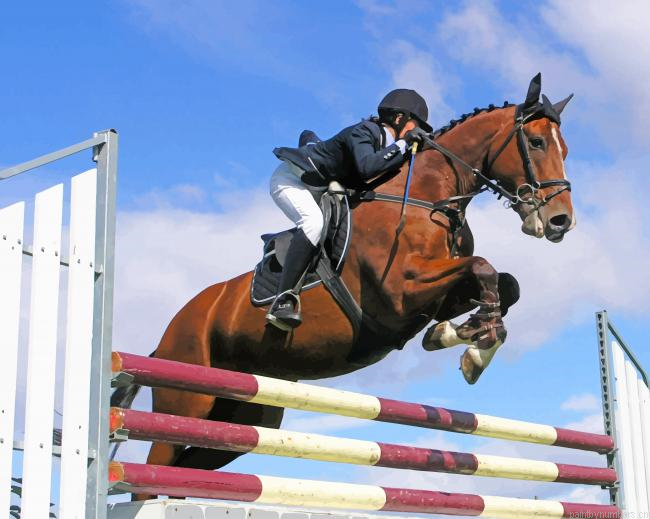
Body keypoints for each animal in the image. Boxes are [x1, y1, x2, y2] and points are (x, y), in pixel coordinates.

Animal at [113, 74, 575, 498]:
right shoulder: (400, 294)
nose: (560, 222)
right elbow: (483, 268)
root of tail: (166, 337)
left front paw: (461, 338)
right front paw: (475, 348)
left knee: (189, 463)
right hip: (187, 396)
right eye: (537, 143)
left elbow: (504, 283)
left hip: (246, 414)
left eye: (565, 149)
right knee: (152, 471)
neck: (429, 197)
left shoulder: (435, 295)